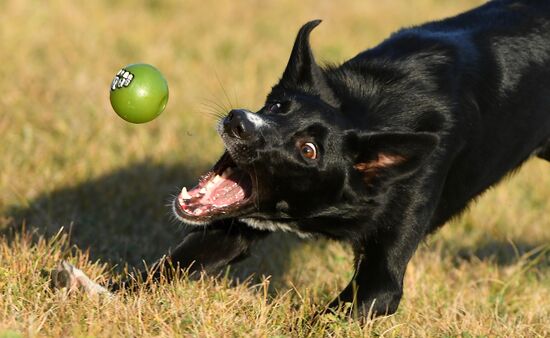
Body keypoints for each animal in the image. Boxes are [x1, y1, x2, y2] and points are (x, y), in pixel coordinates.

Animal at [57, 0, 550, 318]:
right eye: (278, 105)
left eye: (308, 150)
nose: (239, 122)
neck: (364, 111)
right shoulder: (228, 232)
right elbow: (168, 266)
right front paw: (99, 295)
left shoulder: (380, 283)